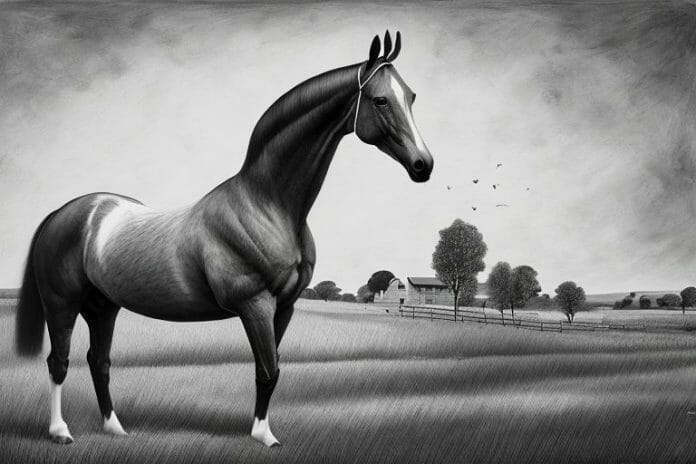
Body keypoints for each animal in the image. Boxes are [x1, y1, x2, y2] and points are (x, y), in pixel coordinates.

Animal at [14, 31, 433, 447]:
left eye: (411, 96)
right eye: (380, 99)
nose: (423, 165)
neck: (266, 205)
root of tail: (65, 213)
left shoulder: (284, 308)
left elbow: (270, 370)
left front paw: (260, 429)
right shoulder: (255, 304)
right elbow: (268, 370)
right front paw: (265, 436)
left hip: (102, 307)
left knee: (98, 362)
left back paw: (115, 427)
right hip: (63, 305)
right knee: (59, 363)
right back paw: (61, 432)